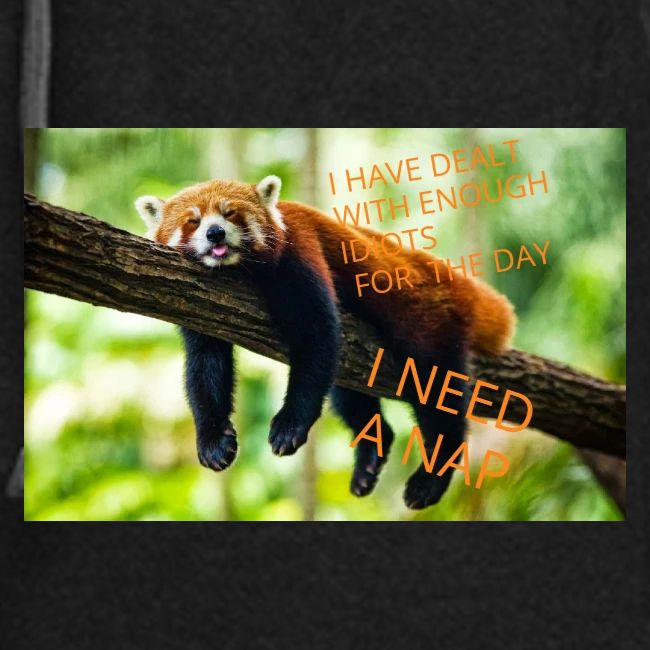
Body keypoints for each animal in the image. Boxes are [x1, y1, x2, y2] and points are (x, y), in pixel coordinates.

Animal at [136, 175, 515, 509]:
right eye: (193, 221)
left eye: (230, 214)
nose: (215, 232)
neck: (238, 270)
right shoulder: (200, 304)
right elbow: (205, 366)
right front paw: (213, 440)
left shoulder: (300, 252)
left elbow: (316, 337)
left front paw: (290, 425)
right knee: (348, 394)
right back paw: (370, 457)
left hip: (428, 323)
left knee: (436, 392)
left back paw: (431, 477)